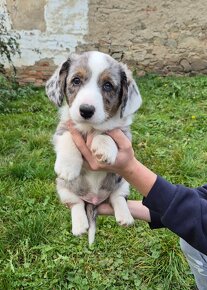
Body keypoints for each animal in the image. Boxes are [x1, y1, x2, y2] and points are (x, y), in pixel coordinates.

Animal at [45, 51, 142, 244]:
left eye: (108, 85)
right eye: (76, 81)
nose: (86, 110)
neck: (90, 127)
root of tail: (94, 200)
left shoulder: (125, 134)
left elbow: (107, 132)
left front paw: (103, 147)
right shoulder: (62, 129)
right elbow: (68, 136)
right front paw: (67, 167)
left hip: (123, 182)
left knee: (117, 197)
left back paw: (125, 217)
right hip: (63, 188)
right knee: (76, 204)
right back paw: (79, 226)